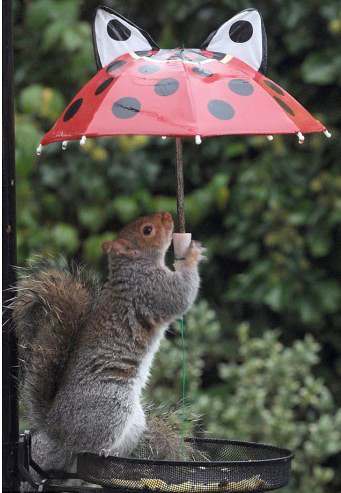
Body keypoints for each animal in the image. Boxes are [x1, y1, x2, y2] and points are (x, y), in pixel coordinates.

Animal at [12, 209, 205, 478]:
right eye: (147, 230)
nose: (167, 215)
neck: (133, 268)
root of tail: (55, 427)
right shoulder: (153, 291)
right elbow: (182, 295)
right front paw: (191, 255)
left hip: (134, 421)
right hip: (112, 405)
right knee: (84, 448)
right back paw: (101, 453)